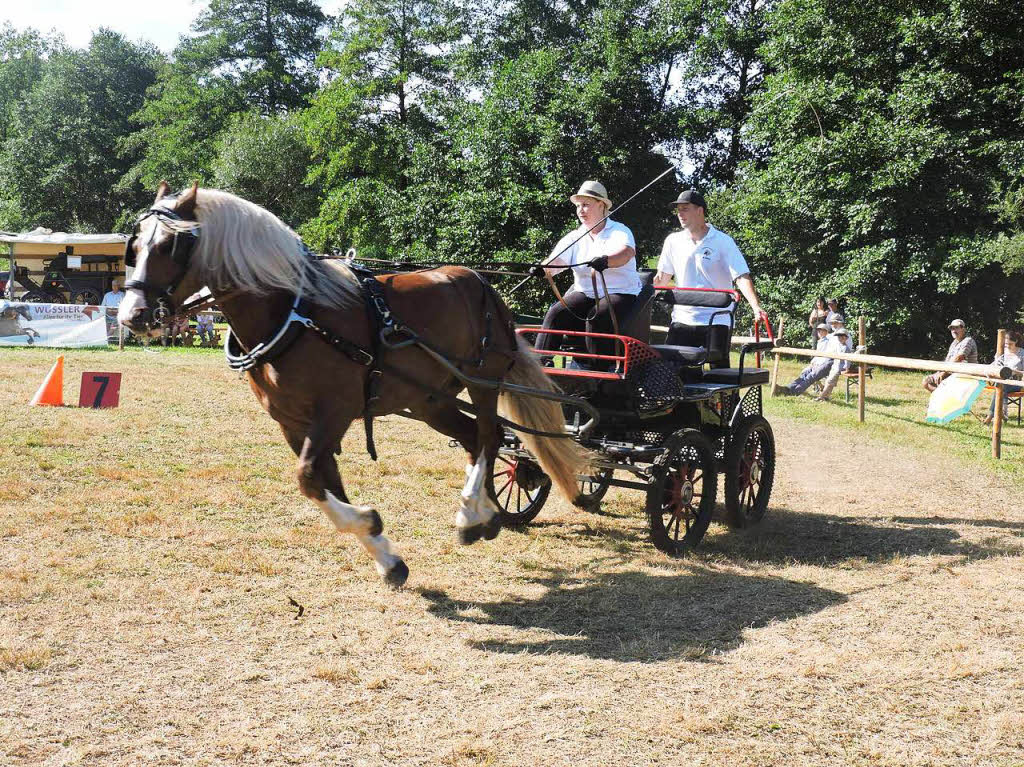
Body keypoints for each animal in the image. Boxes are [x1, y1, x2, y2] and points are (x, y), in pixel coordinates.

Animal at [119, 184, 585, 585]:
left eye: (170, 246)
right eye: (135, 247)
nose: (131, 316)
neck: (294, 314)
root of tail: (483, 284)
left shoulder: (335, 411)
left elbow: (308, 477)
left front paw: (369, 522)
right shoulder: (293, 423)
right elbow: (323, 482)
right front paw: (386, 557)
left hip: (484, 380)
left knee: (489, 436)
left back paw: (472, 511)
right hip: (429, 399)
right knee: (475, 439)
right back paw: (482, 517)